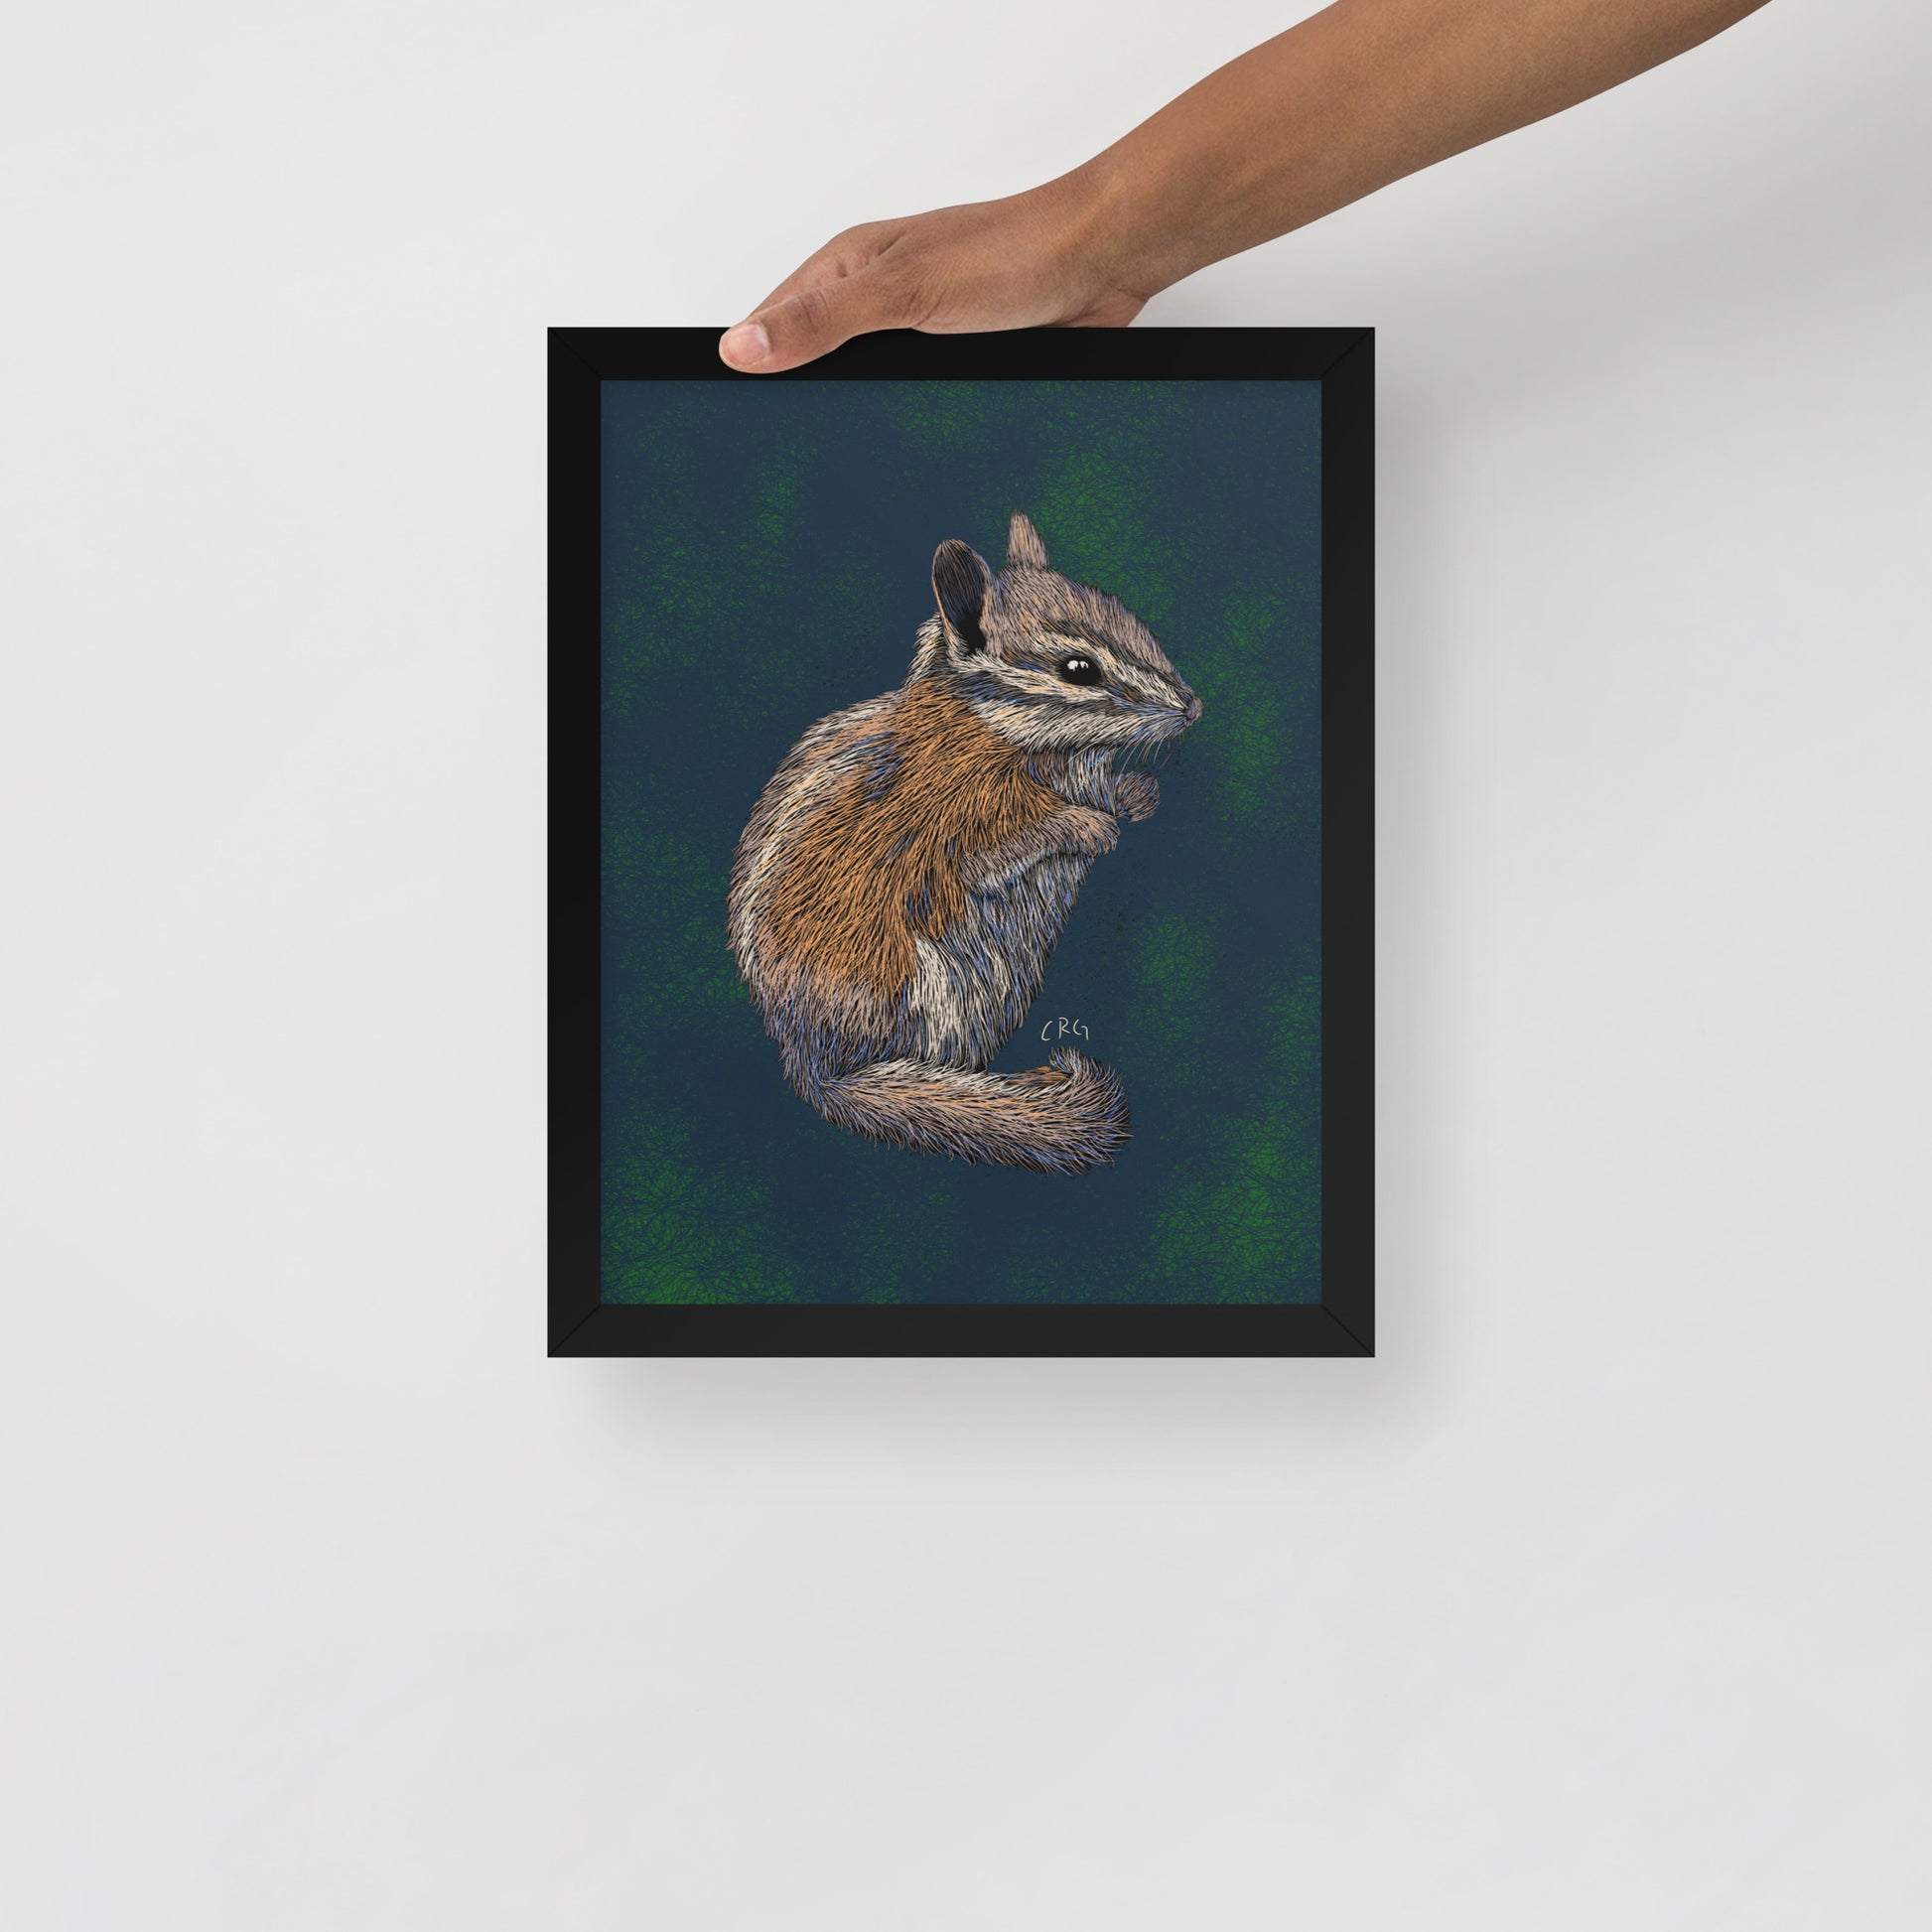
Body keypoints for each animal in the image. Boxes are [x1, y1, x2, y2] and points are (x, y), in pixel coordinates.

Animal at [726, 511, 1202, 1175]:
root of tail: (816, 1066)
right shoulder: (960, 826)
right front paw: (1090, 826)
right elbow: (1002, 851)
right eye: (1079, 669)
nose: (1194, 707)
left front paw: (1136, 795)